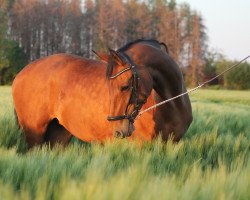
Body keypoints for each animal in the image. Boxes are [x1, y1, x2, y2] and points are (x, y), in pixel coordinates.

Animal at [11, 39, 191, 148]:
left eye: (125, 86)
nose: (118, 130)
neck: (171, 103)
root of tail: (21, 74)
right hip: (34, 134)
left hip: (58, 135)